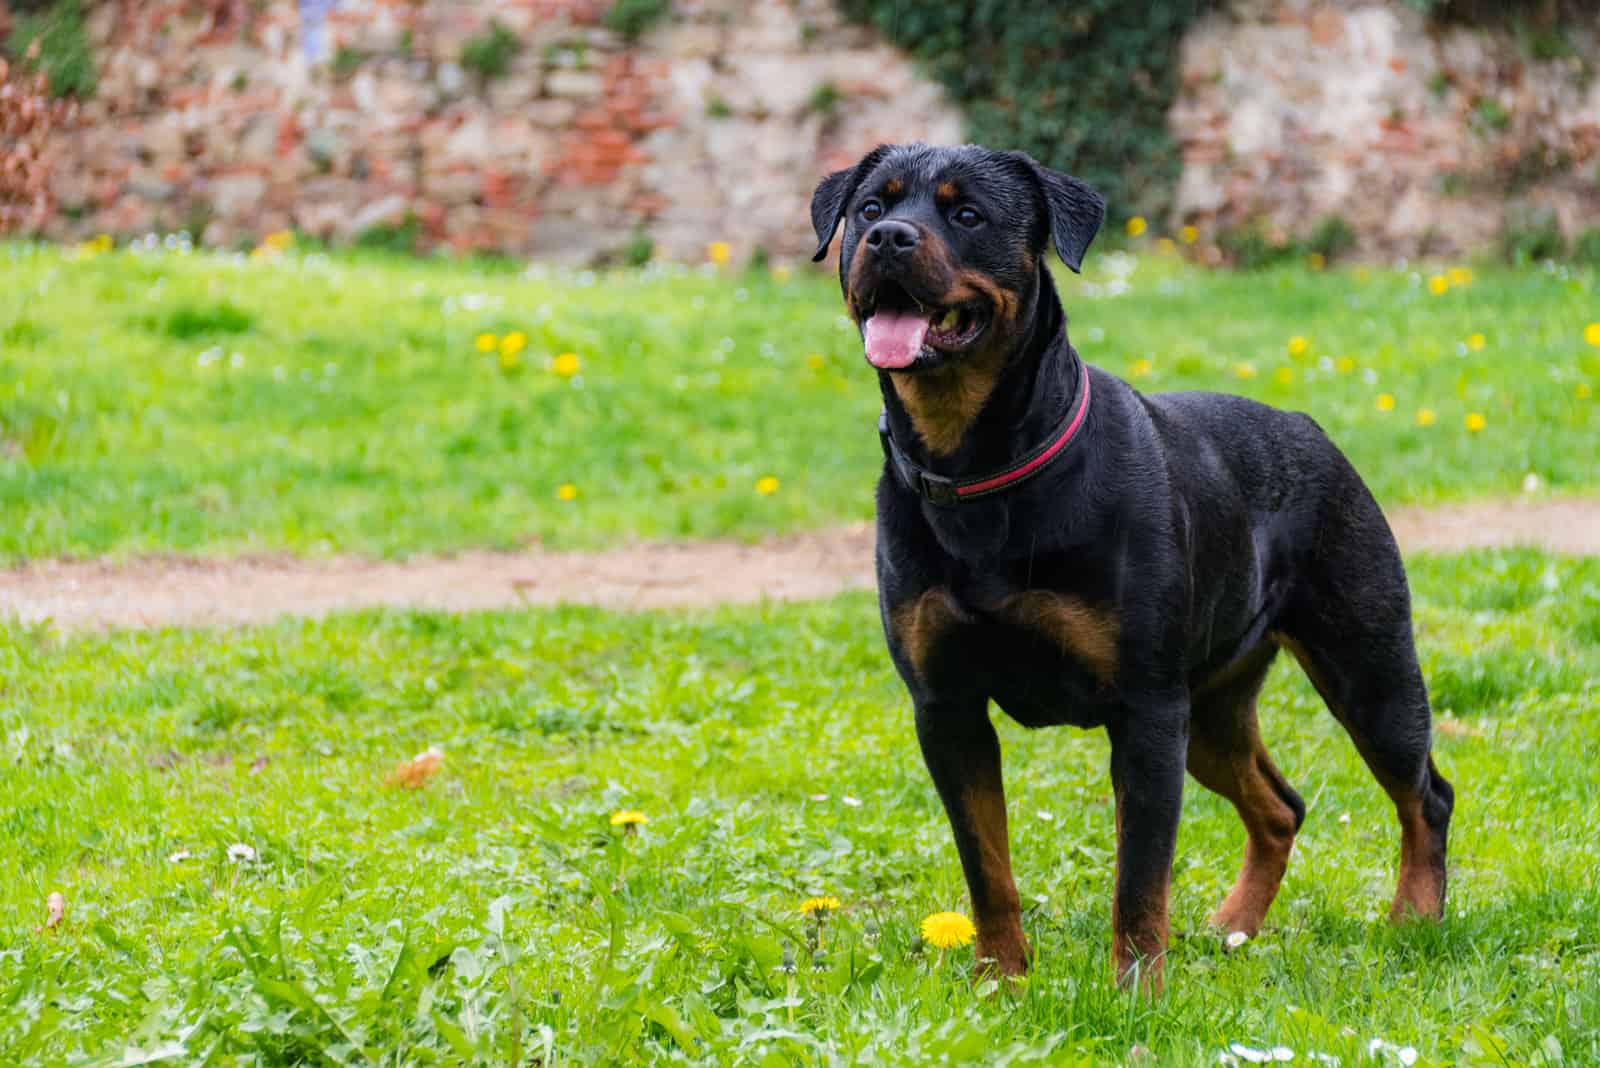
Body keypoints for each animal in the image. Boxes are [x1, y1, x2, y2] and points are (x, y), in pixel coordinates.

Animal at [812, 143, 1452, 991]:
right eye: (868, 209)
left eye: (967, 214)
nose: (889, 238)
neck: (981, 464)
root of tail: (1310, 428)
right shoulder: (947, 709)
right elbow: (988, 867)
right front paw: (999, 980)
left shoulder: (1145, 709)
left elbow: (1140, 876)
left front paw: (1137, 992)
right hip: (1210, 707)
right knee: (1281, 805)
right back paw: (1234, 928)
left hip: (1365, 665)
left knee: (1424, 793)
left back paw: (1416, 917)